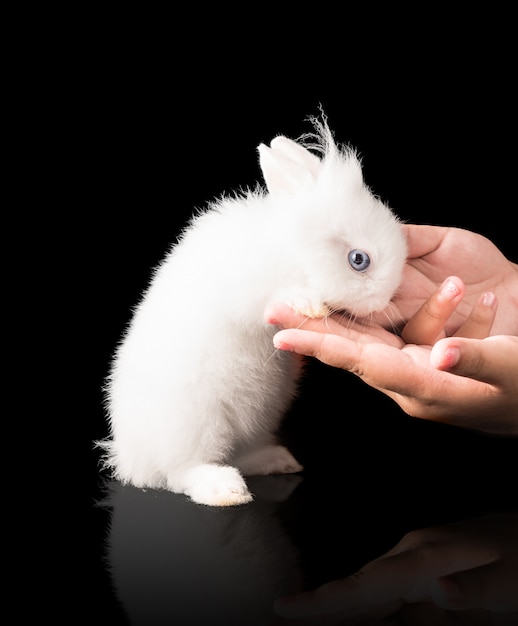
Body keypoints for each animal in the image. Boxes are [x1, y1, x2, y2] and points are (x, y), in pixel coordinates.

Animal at [99, 116, 410, 508]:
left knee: (240, 454)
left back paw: (279, 461)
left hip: (261, 414)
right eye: (359, 260)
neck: (293, 251)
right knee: (182, 472)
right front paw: (309, 303)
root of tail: (129, 459)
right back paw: (226, 491)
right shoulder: (249, 289)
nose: (385, 300)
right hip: (196, 423)